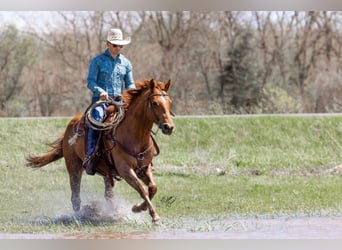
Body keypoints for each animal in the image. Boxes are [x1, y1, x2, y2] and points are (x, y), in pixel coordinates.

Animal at [26, 78, 175, 223]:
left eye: (169, 102)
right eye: (155, 103)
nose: (169, 127)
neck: (135, 137)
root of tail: (71, 124)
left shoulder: (145, 167)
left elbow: (153, 188)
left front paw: (139, 207)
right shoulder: (125, 170)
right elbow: (142, 190)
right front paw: (153, 215)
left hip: (106, 173)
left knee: (108, 195)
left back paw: (112, 213)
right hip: (73, 167)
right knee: (75, 196)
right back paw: (79, 216)